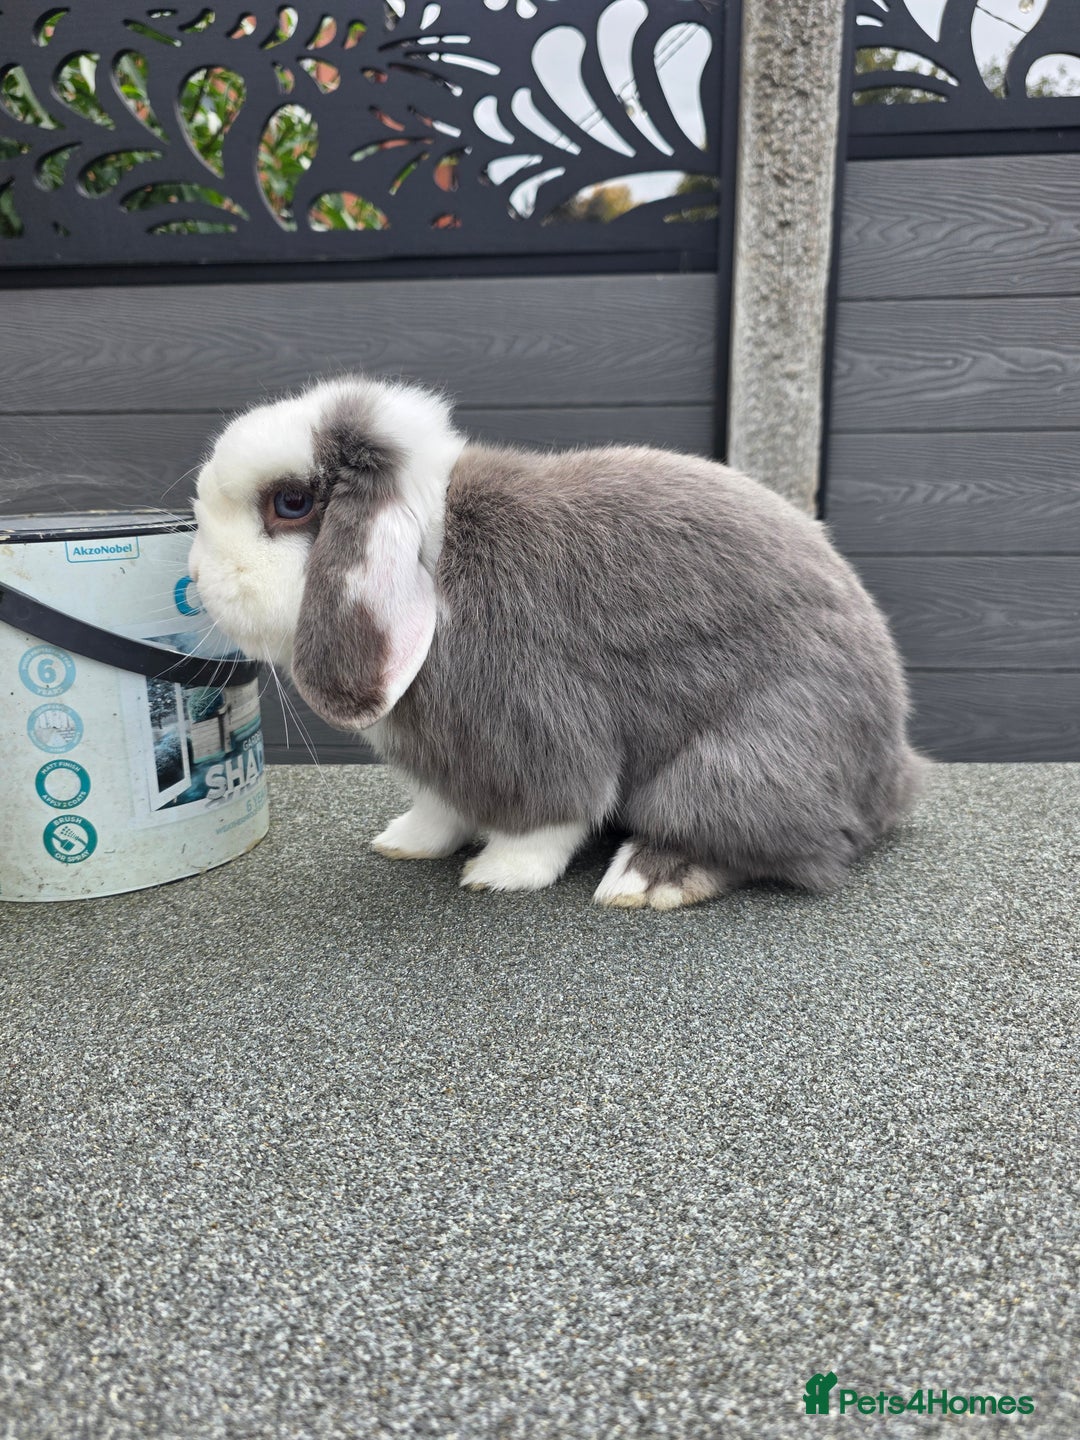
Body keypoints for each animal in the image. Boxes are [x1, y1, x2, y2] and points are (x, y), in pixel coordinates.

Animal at [188, 374, 926, 910]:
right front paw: (406, 842)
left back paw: (648, 878)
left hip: (742, 761)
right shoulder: (446, 761)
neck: (434, 561)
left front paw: (498, 873)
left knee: (776, 846)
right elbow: (440, 808)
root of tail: (891, 773)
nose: (196, 579)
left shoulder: (537, 732)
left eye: (290, 504)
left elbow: (552, 814)